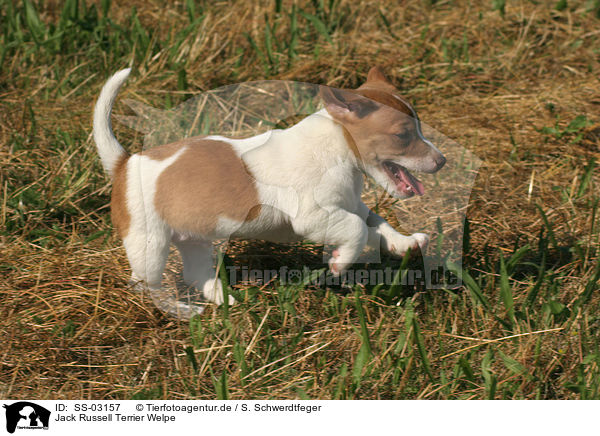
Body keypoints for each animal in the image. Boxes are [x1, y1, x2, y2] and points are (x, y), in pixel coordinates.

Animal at [92, 66, 446, 312]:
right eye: (403, 135)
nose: (442, 160)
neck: (336, 149)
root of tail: (124, 163)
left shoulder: (350, 204)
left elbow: (377, 224)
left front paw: (406, 243)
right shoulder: (314, 217)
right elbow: (358, 229)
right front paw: (340, 262)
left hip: (194, 240)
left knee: (195, 274)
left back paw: (223, 298)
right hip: (149, 245)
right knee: (145, 286)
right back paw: (180, 308)